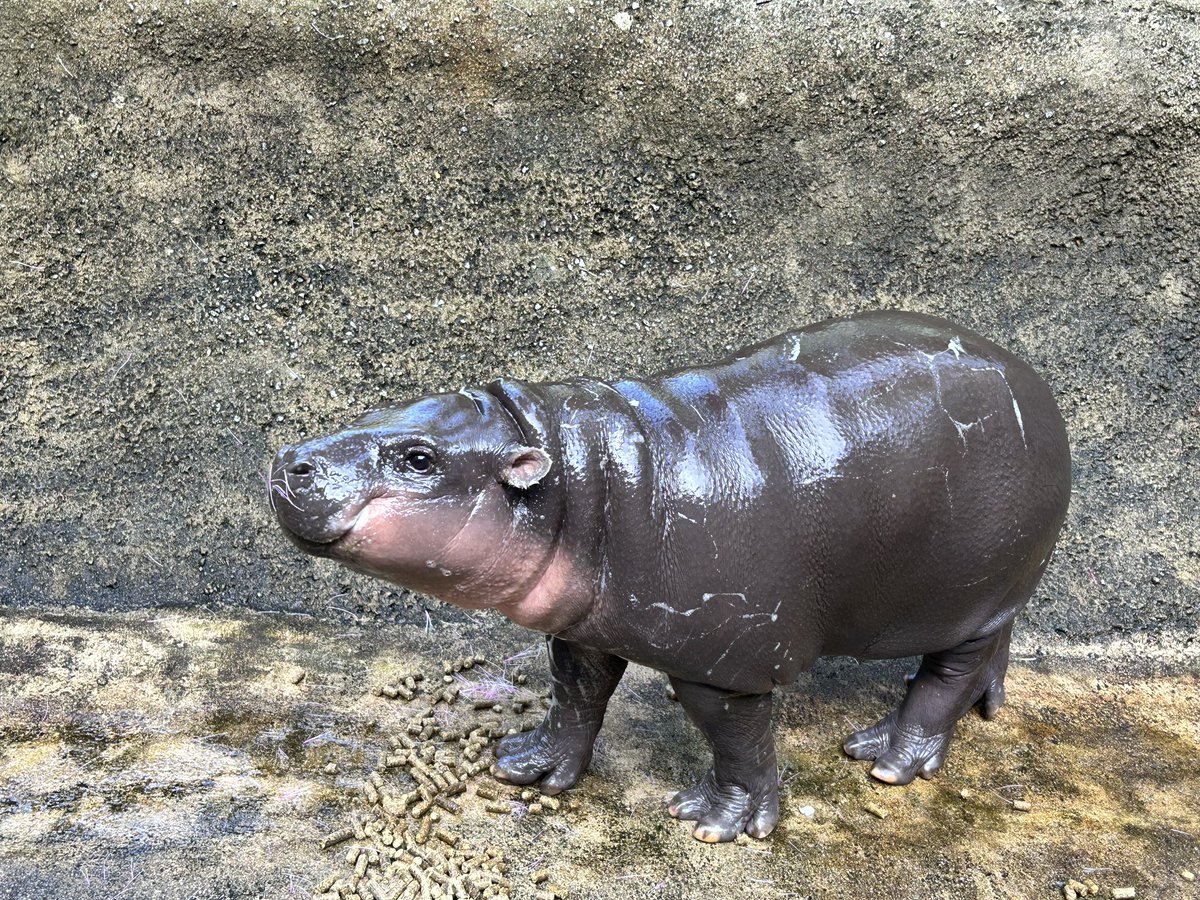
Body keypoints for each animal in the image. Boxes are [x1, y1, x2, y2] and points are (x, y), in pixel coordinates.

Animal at [270, 310, 1071, 843]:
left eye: (419, 459)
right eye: (381, 404)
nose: (288, 461)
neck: (580, 476)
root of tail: (1035, 380)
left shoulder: (725, 658)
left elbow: (737, 740)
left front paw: (717, 822)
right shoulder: (583, 622)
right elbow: (577, 691)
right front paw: (528, 765)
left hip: (968, 586)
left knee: (947, 671)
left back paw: (887, 758)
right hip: (993, 591)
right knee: (991, 646)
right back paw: (978, 710)